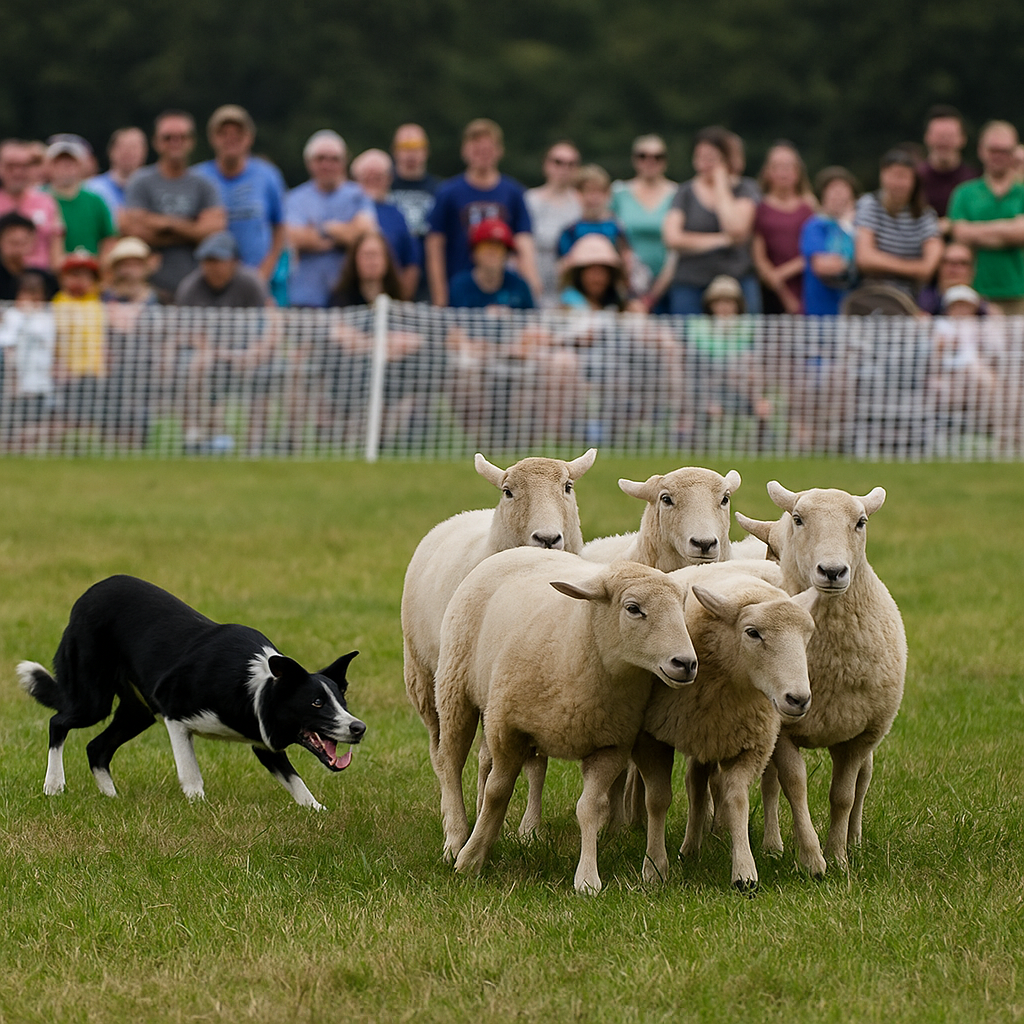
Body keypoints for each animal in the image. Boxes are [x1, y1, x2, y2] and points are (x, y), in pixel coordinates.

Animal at [401, 448, 596, 781]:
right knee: (438, 748)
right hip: (424, 674)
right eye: (508, 492)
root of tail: (464, 515)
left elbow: (525, 760)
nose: (547, 538)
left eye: (568, 487)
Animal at [433, 548, 698, 894]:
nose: (687, 663)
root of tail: (520, 550)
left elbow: (589, 807)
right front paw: (470, 859)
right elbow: (498, 792)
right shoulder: (507, 729)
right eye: (633, 608)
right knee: (450, 764)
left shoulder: (610, 744)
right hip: (455, 688)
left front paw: (587, 879)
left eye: (682, 609)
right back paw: (456, 838)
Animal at [629, 563, 817, 890]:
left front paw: (744, 872)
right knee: (695, 782)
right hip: (704, 733)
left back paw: (809, 857)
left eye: (807, 635)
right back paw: (690, 849)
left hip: (757, 732)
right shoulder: (650, 738)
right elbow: (658, 800)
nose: (799, 699)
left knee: (793, 781)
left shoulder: (752, 744)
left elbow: (737, 798)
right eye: (752, 632)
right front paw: (654, 868)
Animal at [735, 481, 907, 875]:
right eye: (799, 519)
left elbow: (843, 795)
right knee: (770, 784)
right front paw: (811, 858)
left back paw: (855, 839)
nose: (832, 571)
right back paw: (772, 845)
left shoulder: (858, 735)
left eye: (861, 522)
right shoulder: (783, 729)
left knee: (864, 780)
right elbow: (793, 785)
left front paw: (839, 856)